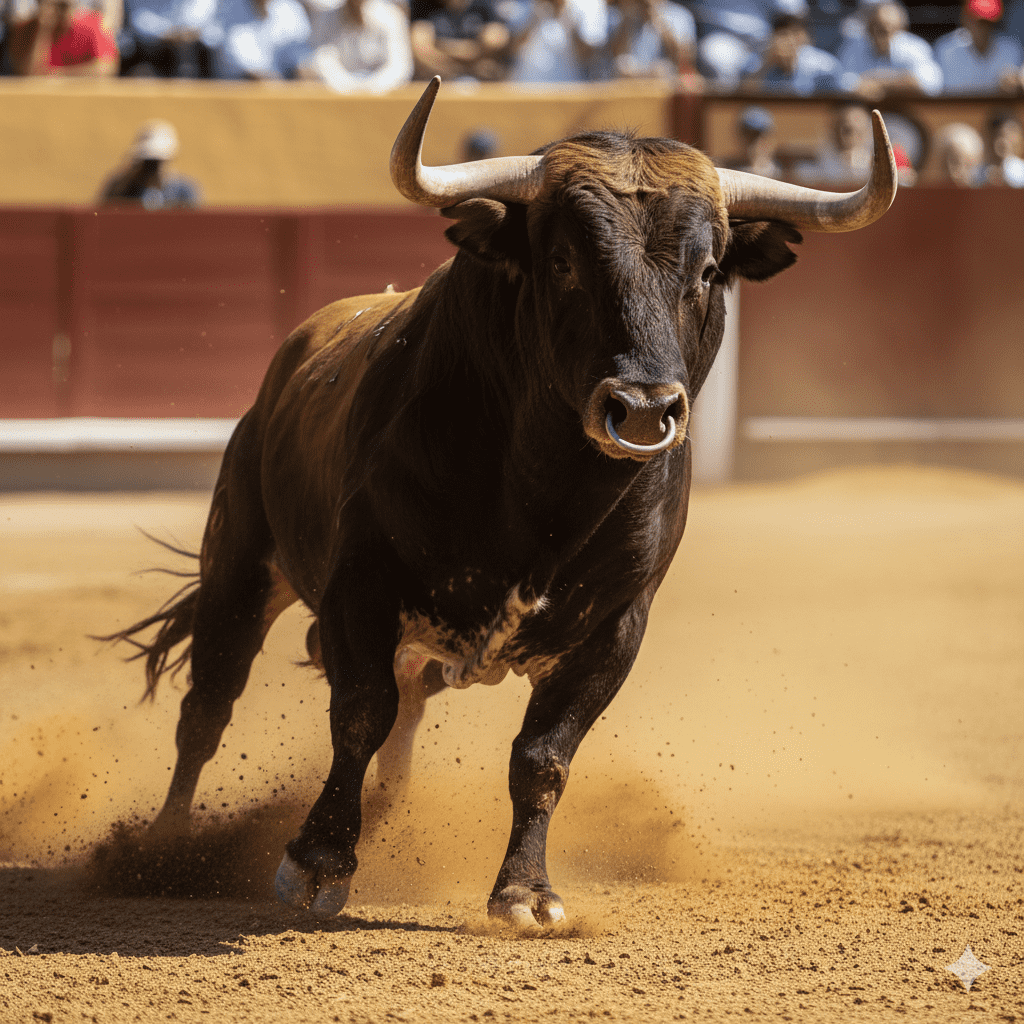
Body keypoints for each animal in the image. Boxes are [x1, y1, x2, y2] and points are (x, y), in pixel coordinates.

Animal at [108, 78, 896, 928]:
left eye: (710, 269)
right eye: (562, 261)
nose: (643, 410)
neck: (547, 496)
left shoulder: (616, 625)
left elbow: (542, 755)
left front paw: (526, 893)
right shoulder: (362, 586)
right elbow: (357, 713)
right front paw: (316, 863)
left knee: (400, 722)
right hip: (241, 563)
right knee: (208, 709)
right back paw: (162, 850)